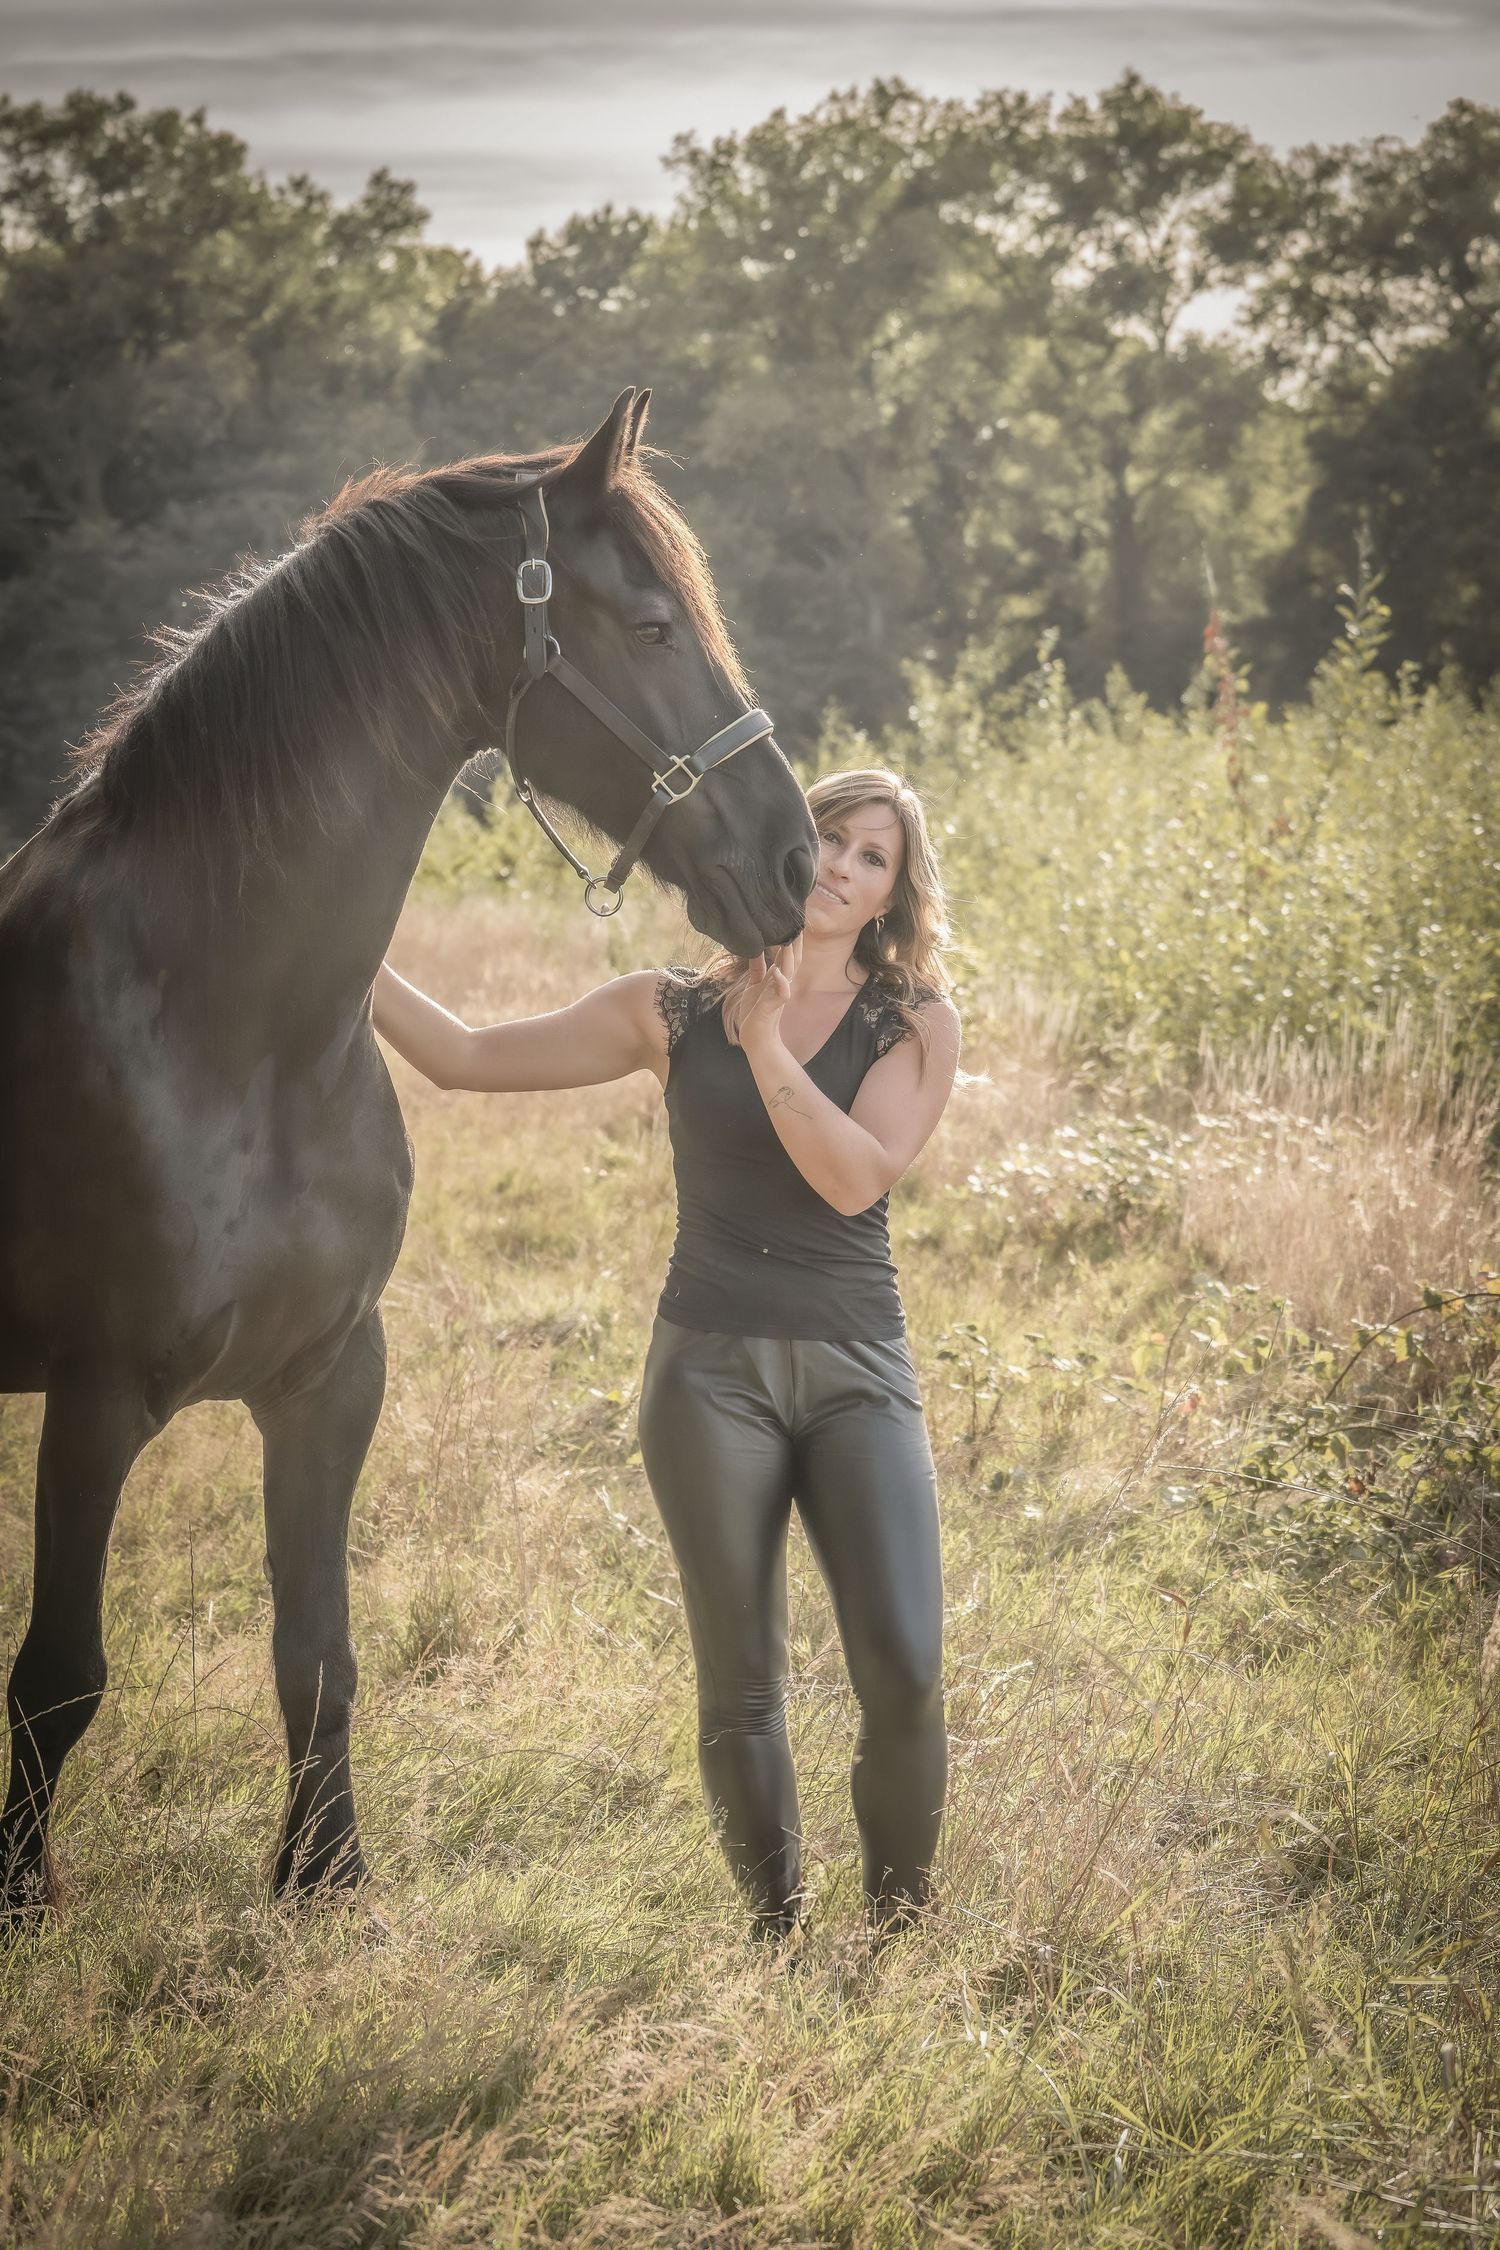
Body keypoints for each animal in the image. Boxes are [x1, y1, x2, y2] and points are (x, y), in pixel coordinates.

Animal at [0, 388, 817, 1916]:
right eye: (654, 627)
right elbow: (58, 1676)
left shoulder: (329, 1378)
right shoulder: (95, 1394)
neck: (227, 1023)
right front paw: (24, 1896)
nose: (797, 860)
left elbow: (317, 1652)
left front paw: (324, 1875)